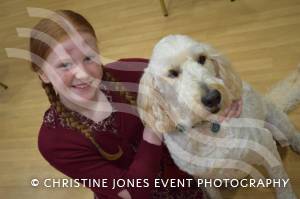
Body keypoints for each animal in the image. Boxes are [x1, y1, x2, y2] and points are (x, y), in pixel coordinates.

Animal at [137, 35, 300, 198]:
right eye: (172, 73)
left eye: (202, 58)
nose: (213, 97)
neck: (207, 126)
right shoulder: (203, 178)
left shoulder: (266, 146)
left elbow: (280, 178)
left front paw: (287, 195)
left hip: (278, 123)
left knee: (291, 133)